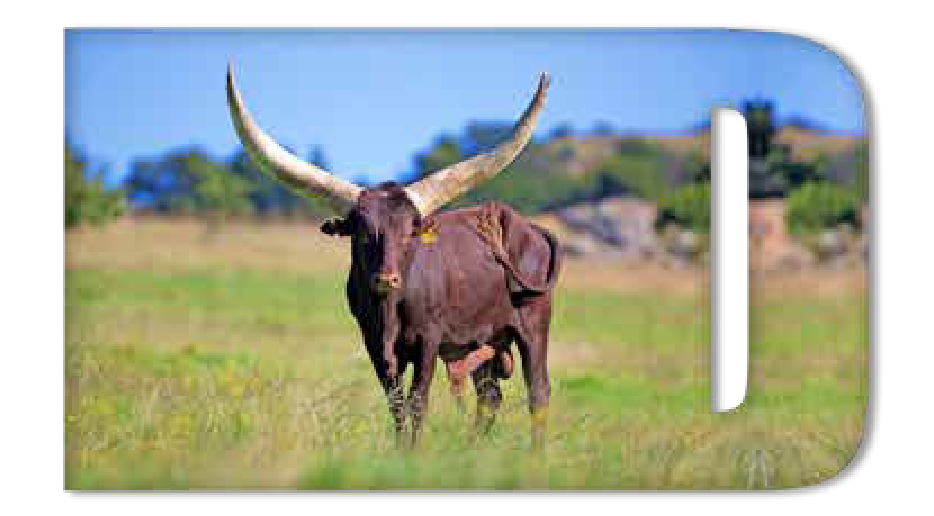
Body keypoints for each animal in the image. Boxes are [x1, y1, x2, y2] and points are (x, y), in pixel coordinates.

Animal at [226, 63, 560, 448]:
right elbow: (395, 402)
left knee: (538, 391)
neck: (388, 312)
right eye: (362, 232)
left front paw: (413, 451)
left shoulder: (429, 339)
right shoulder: (375, 343)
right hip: (487, 340)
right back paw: (474, 449)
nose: (387, 279)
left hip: (533, 324)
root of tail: (530, 227)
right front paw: (401, 450)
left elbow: (418, 400)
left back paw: (535, 453)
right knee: (489, 395)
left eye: (409, 233)